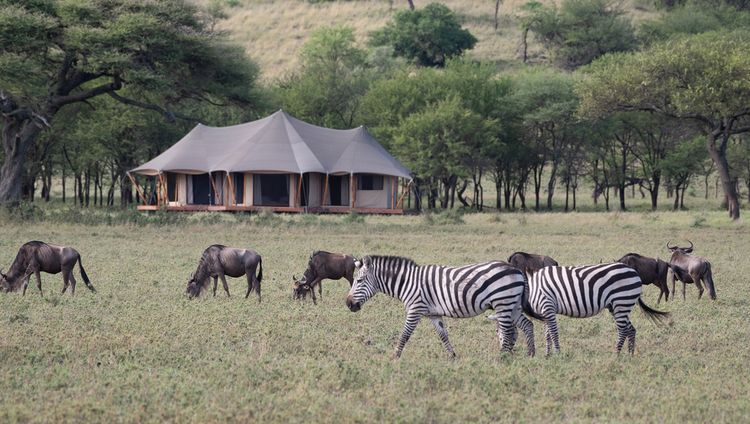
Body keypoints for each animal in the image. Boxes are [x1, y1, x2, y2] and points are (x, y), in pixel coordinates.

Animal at [344, 255, 544, 358]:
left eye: (359, 281)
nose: (348, 304)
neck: (407, 282)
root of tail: (517, 270)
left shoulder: (415, 309)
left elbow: (405, 334)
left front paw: (395, 357)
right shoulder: (433, 314)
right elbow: (443, 335)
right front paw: (452, 356)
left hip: (503, 303)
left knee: (509, 331)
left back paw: (501, 358)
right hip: (512, 304)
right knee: (527, 325)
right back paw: (530, 354)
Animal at [508, 262, 672, 354]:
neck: (530, 290)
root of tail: (634, 272)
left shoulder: (547, 306)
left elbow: (553, 333)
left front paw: (557, 354)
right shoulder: (545, 312)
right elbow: (547, 334)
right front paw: (548, 356)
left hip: (621, 302)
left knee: (623, 330)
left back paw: (616, 355)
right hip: (617, 306)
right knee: (631, 329)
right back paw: (629, 355)